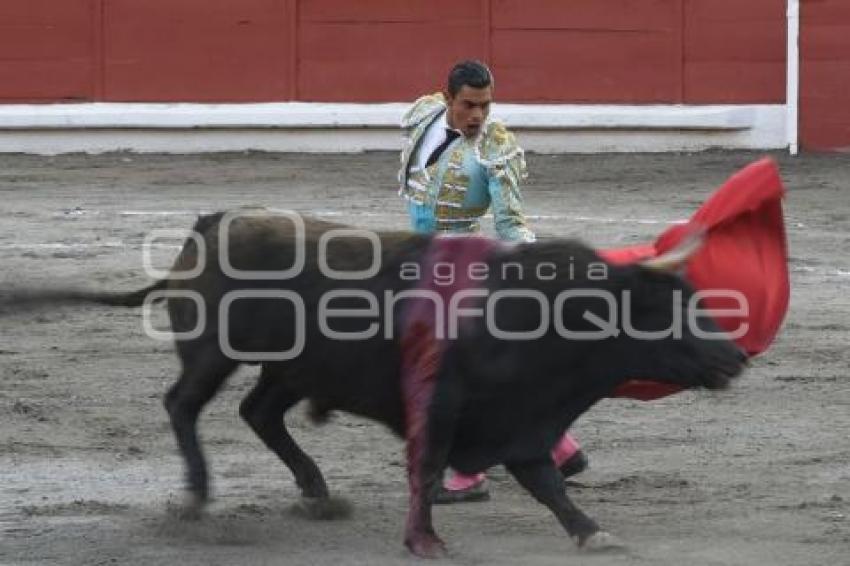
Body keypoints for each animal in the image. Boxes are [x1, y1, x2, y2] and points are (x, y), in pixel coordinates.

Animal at [1, 210, 744, 560]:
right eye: (663, 307)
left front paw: (593, 534)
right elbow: (435, 464)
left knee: (259, 414)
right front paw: (428, 536)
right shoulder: (449, 407)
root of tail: (210, 225)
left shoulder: (523, 418)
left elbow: (546, 482)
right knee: (183, 405)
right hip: (214, 355)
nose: (735, 358)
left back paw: (317, 493)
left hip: (291, 369)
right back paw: (196, 497)